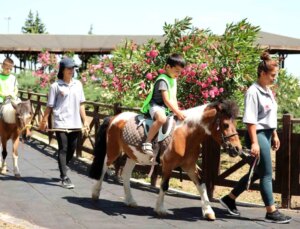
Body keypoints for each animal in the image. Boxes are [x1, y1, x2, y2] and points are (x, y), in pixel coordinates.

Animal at [89, 99, 244, 220]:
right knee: (104, 167)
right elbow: (164, 185)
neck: (185, 135)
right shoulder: (168, 165)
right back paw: (95, 193)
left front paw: (208, 212)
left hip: (132, 156)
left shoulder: (189, 166)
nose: (237, 149)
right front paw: (160, 209)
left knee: (126, 175)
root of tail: (115, 117)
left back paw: (130, 201)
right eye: (225, 125)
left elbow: (201, 185)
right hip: (113, 151)